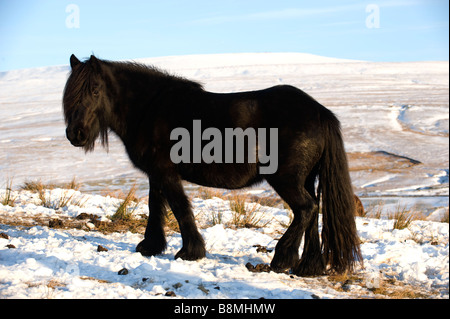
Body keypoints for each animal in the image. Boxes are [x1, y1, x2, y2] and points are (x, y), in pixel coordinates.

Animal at [62, 55, 362, 278]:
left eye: (95, 90)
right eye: (70, 93)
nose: (75, 134)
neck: (148, 108)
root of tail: (320, 112)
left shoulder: (166, 173)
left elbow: (180, 208)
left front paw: (190, 252)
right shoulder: (156, 174)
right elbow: (155, 206)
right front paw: (150, 246)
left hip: (286, 179)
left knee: (306, 209)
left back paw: (282, 259)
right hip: (306, 178)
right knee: (313, 212)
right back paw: (308, 267)